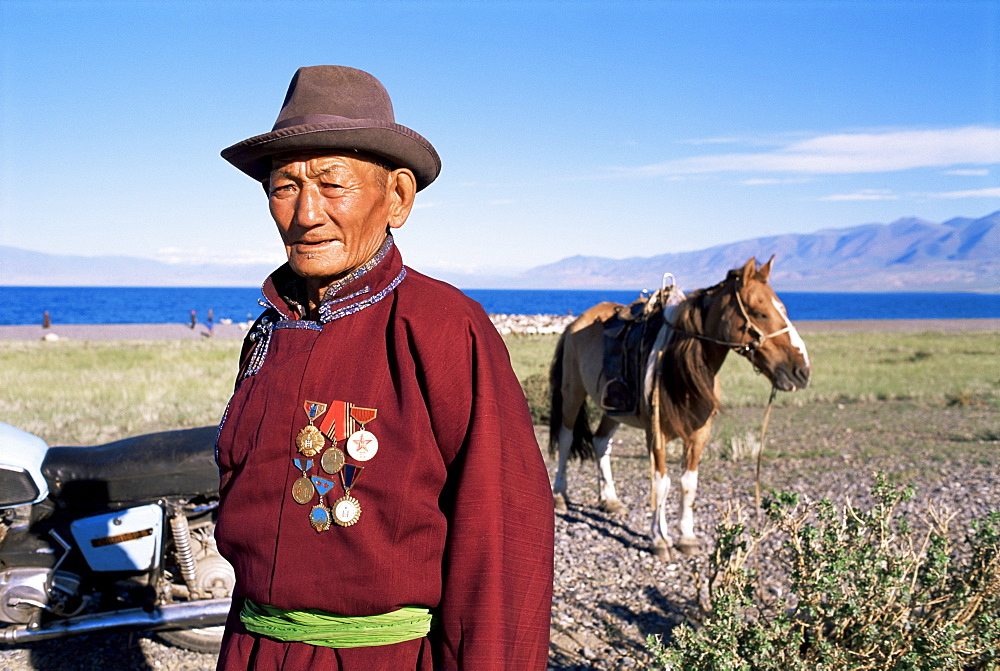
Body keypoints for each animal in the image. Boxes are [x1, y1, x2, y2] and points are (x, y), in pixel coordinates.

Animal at [548, 255, 812, 560]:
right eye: (759, 313)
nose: (801, 371)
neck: (681, 364)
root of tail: (575, 323)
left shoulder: (699, 434)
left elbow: (688, 483)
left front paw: (687, 537)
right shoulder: (656, 434)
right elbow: (661, 483)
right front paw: (660, 539)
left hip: (614, 406)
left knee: (601, 442)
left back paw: (610, 500)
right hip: (572, 393)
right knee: (566, 439)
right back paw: (560, 495)